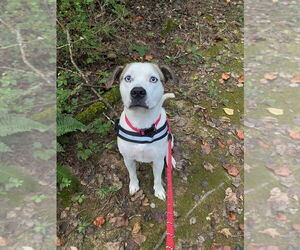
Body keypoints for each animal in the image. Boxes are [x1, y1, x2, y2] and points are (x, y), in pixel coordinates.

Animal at [105, 63, 177, 201]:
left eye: (153, 79)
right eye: (128, 78)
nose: (137, 91)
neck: (142, 124)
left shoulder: (158, 160)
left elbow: (157, 179)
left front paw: (159, 190)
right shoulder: (128, 158)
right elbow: (132, 174)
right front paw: (134, 186)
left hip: (170, 139)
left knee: (168, 150)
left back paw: (171, 160)